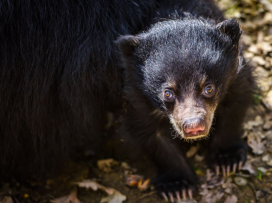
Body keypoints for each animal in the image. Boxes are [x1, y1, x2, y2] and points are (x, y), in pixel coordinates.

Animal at [0, 0, 255, 201]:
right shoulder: (136, 96)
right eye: (168, 93)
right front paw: (177, 186)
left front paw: (227, 159)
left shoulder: (236, 76)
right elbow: (151, 136)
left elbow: (235, 107)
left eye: (209, 88)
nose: (193, 127)